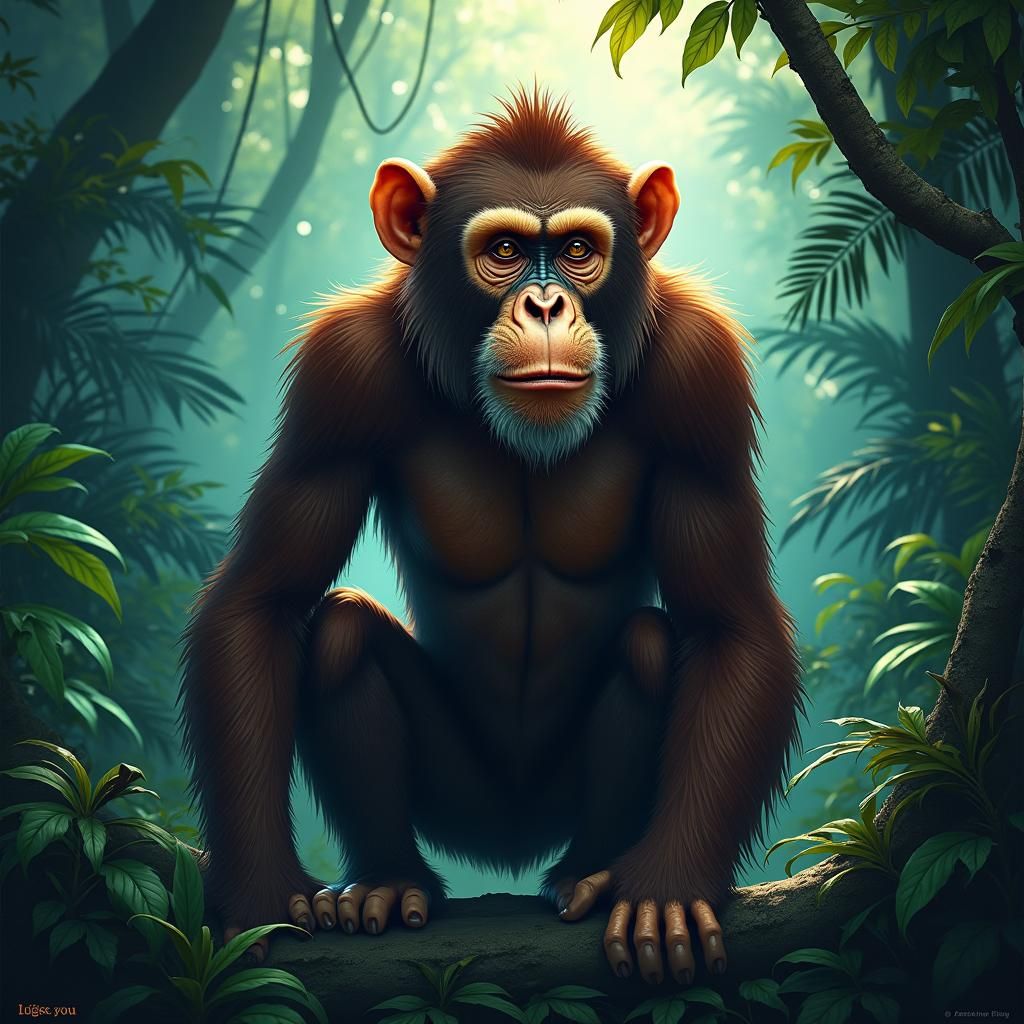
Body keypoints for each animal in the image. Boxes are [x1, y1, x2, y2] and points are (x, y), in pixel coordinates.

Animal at [181, 87, 802, 986]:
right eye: (504, 250)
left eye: (578, 250)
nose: (545, 305)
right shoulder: (341, 372)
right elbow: (260, 600)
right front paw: (259, 896)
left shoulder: (703, 375)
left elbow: (732, 624)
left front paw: (669, 887)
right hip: (460, 805)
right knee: (339, 633)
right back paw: (388, 881)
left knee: (651, 646)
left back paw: (587, 873)